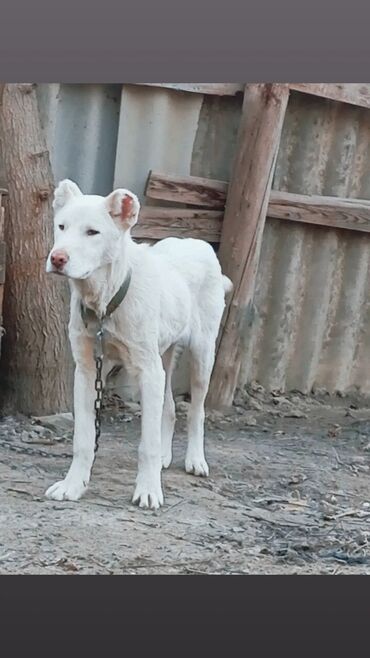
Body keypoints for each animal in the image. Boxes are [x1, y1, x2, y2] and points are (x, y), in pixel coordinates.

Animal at [44, 179, 233, 508]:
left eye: (92, 232)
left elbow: (147, 444)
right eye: (62, 226)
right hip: (164, 358)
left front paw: (148, 490)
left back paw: (195, 460)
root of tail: (198, 243)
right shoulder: (87, 371)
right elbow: (83, 441)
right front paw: (73, 485)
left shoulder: (147, 371)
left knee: (196, 410)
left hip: (201, 354)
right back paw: (166, 457)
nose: (57, 258)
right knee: (169, 407)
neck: (105, 302)